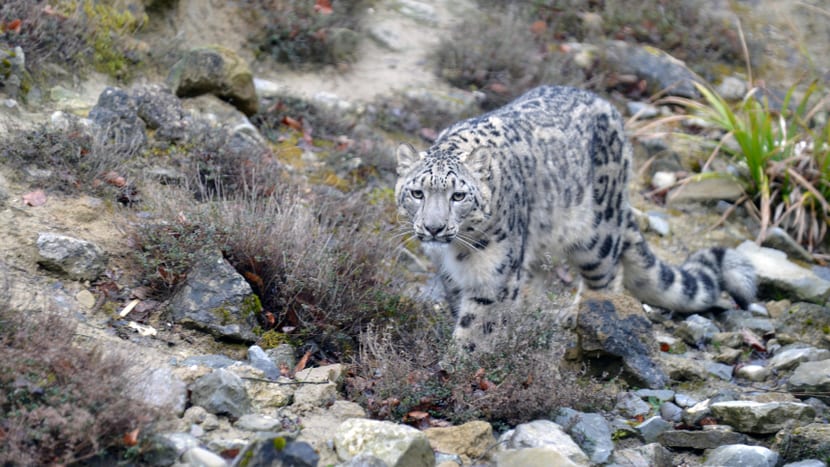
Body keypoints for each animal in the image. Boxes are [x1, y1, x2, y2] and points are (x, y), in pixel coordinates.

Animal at [396, 87, 760, 352]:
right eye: (417, 193)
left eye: (458, 196)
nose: (434, 227)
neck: (457, 252)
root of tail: (608, 107)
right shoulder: (450, 274)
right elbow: (462, 308)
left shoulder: (494, 273)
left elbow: (478, 325)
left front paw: (459, 366)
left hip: (597, 234)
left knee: (607, 277)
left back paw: (587, 318)